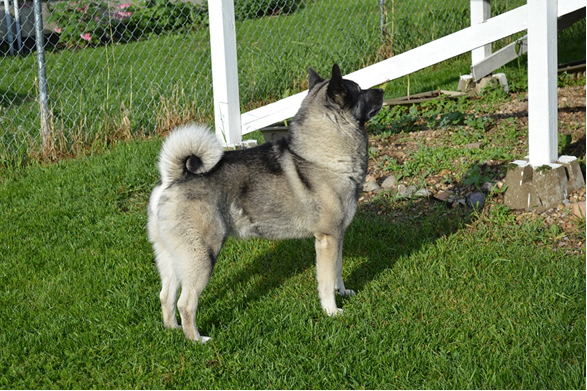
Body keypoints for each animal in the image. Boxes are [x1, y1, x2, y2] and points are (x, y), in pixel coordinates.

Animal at [149, 64, 384, 344]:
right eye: (359, 90)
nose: (382, 91)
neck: (320, 154)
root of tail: (173, 179)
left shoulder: (337, 237)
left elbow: (337, 270)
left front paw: (343, 292)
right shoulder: (327, 239)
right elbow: (326, 280)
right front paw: (331, 311)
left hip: (172, 257)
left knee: (166, 296)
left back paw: (172, 329)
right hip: (201, 256)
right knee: (185, 303)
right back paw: (197, 339)